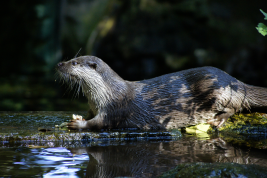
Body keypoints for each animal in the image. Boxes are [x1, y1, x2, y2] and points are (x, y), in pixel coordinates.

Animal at [57, 55, 267, 130]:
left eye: (74, 62)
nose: (60, 64)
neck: (106, 94)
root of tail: (235, 81)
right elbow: (89, 115)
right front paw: (78, 117)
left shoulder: (116, 108)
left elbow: (100, 123)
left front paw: (79, 124)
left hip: (218, 91)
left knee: (235, 107)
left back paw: (217, 120)